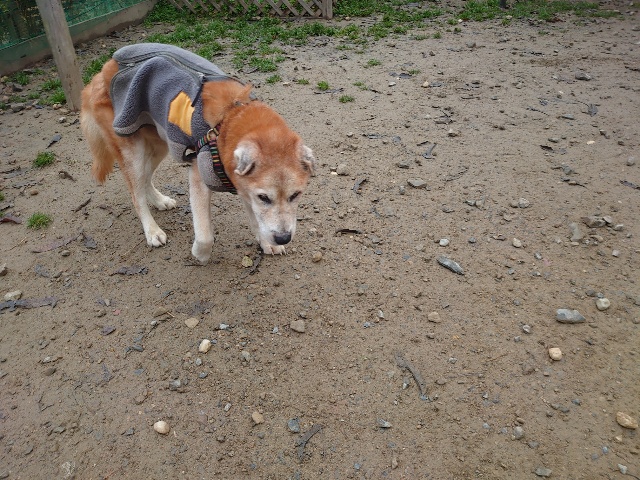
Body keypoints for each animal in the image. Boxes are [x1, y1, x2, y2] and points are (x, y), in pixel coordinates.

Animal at [80, 43, 314, 262]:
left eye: (296, 195)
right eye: (264, 197)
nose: (283, 238)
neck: (230, 120)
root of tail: (102, 71)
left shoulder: (243, 186)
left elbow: (257, 219)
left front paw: (267, 243)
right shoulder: (200, 178)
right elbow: (205, 235)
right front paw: (200, 254)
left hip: (160, 144)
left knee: (146, 178)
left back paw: (159, 201)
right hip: (133, 151)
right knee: (136, 195)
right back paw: (152, 231)